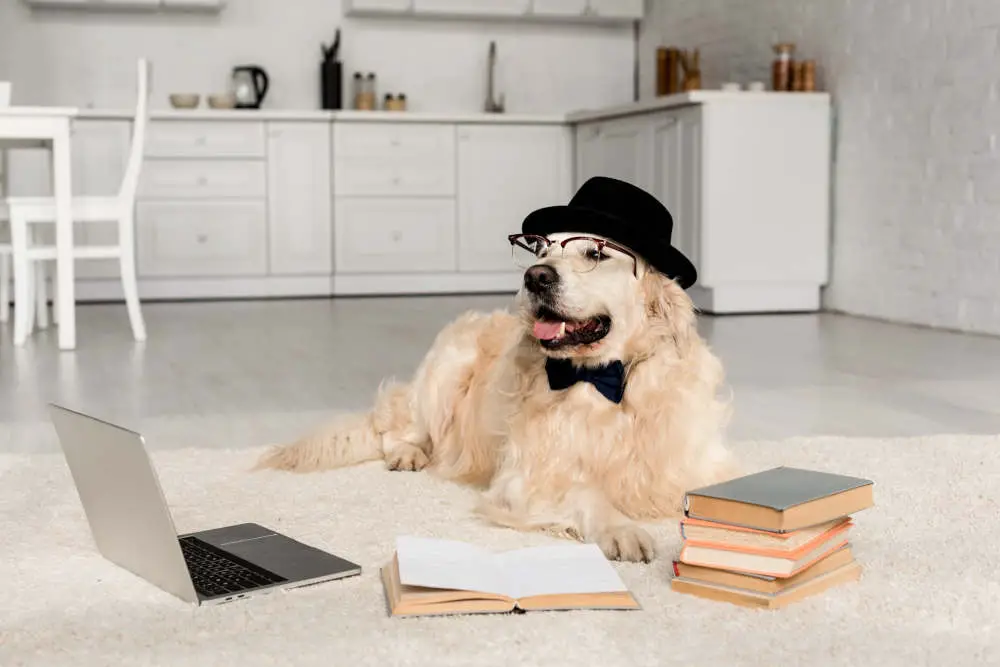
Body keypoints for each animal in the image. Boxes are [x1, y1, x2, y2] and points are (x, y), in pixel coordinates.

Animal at [256, 177, 744, 564]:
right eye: (541, 246)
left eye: (595, 253)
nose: (536, 276)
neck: (606, 379)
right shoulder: (525, 476)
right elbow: (585, 491)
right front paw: (621, 528)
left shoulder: (694, 462)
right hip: (444, 374)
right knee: (395, 428)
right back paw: (409, 453)